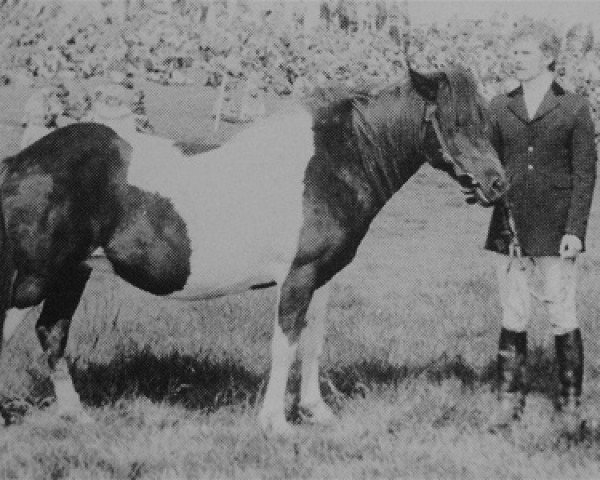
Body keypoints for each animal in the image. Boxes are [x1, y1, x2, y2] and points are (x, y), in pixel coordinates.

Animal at [0, 66, 506, 436]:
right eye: (456, 122)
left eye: (487, 121)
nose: (497, 184)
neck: (330, 165)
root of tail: (20, 162)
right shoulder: (298, 276)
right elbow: (285, 343)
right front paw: (276, 423)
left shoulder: (322, 277)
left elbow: (313, 341)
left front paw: (316, 411)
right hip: (32, 279)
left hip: (72, 272)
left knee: (52, 332)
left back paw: (76, 415)